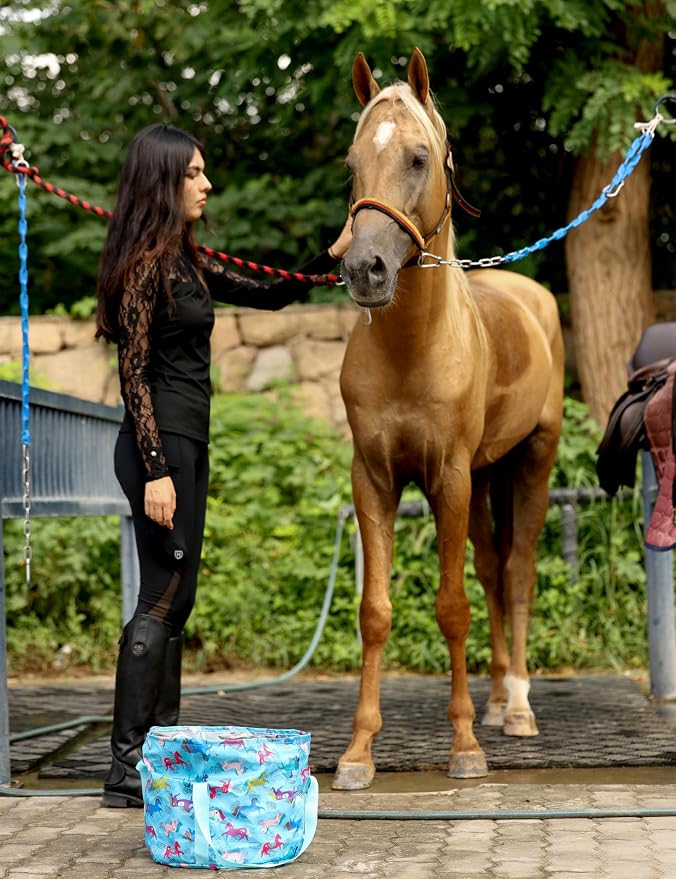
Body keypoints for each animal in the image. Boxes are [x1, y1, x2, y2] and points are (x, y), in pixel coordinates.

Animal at [334, 48, 564, 790]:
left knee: (516, 572)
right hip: (489, 474)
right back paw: (494, 699)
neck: (413, 346)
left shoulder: (451, 479)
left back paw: (516, 707)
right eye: (352, 163)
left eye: (418, 158)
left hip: (531, 461)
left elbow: (451, 606)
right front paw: (358, 752)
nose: (365, 268)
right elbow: (376, 612)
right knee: (493, 568)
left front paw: (464, 746)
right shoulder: (374, 479)